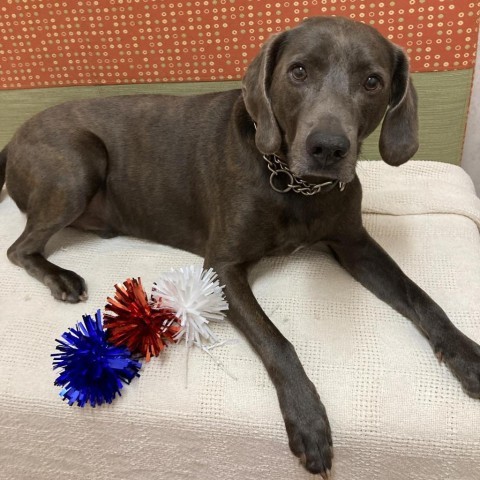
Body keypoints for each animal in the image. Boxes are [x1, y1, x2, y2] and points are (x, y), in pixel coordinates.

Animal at [0, 17, 480, 476]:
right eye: (298, 71)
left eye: (373, 81)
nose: (328, 148)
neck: (296, 186)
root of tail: (15, 135)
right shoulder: (222, 267)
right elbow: (277, 341)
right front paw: (309, 420)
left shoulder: (355, 244)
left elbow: (420, 296)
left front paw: (465, 353)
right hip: (79, 161)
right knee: (18, 247)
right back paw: (62, 278)